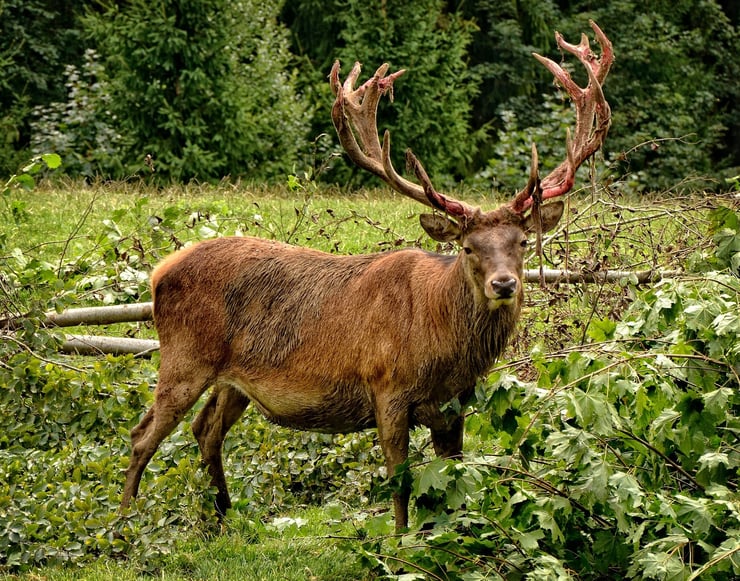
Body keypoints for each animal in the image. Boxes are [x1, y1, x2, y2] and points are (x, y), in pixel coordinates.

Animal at [120, 21, 612, 531]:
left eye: (521, 243)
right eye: (468, 247)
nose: (504, 284)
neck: (441, 344)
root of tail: (159, 273)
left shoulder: (455, 405)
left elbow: (452, 479)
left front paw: (453, 532)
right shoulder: (386, 388)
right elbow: (401, 481)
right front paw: (400, 539)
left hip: (233, 379)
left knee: (206, 429)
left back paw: (221, 514)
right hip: (185, 356)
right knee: (142, 435)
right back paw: (123, 524)